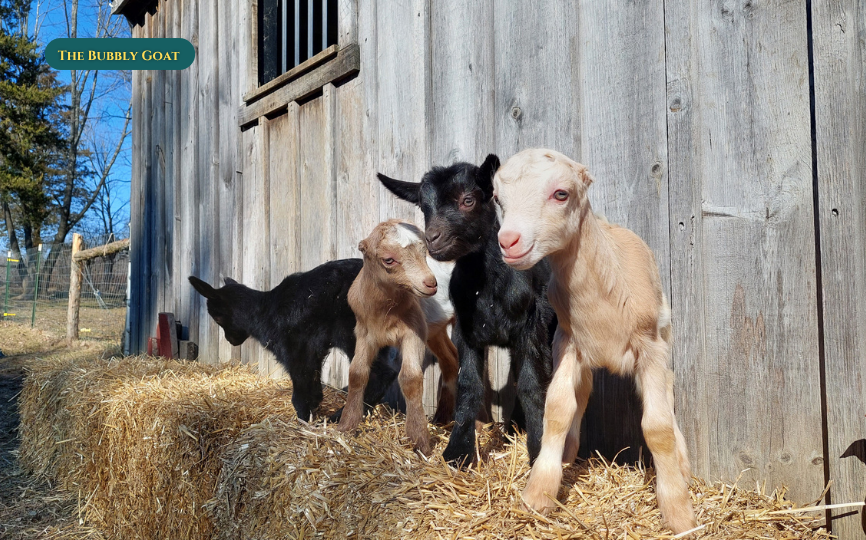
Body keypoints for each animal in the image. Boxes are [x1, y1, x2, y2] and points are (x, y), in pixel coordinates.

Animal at [188, 261, 400, 422]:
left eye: (216, 316)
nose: (231, 341)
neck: (263, 312)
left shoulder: (294, 349)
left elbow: (300, 390)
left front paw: (304, 418)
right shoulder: (313, 351)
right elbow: (313, 386)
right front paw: (313, 411)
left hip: (353, 333)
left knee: (381, 373)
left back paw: (340, 417)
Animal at [337, 220, 459, 455]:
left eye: (424, 253)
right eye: (389, 260)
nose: (431, 283)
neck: (386, 310)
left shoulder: (414, 333)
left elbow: (410, 378)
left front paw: (419, 440)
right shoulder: (365, 333)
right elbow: (357, 373)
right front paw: (347, 425)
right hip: (435, 330)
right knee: (451, 359)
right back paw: (442, 418)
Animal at [377, 155, 555, 467]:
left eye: (468, 200)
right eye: (423, 206)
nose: (432, 238)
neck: (488, 290)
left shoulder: (531, 327)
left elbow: (531, 385)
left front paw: (538, 452)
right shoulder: (467, 330)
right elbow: (469, 384)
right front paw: (458, 451)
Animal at [493, 148, 696, 534]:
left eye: (561, 194)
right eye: (497, 199)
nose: (509, 241)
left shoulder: (649, 346)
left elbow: (657, 426)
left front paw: (679, 513)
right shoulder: (567, 341)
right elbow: (557, 409)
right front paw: (539, 494)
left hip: (663, 334)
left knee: (668, 388)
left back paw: (682, 463)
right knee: (583, 391)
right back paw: (570, 452)